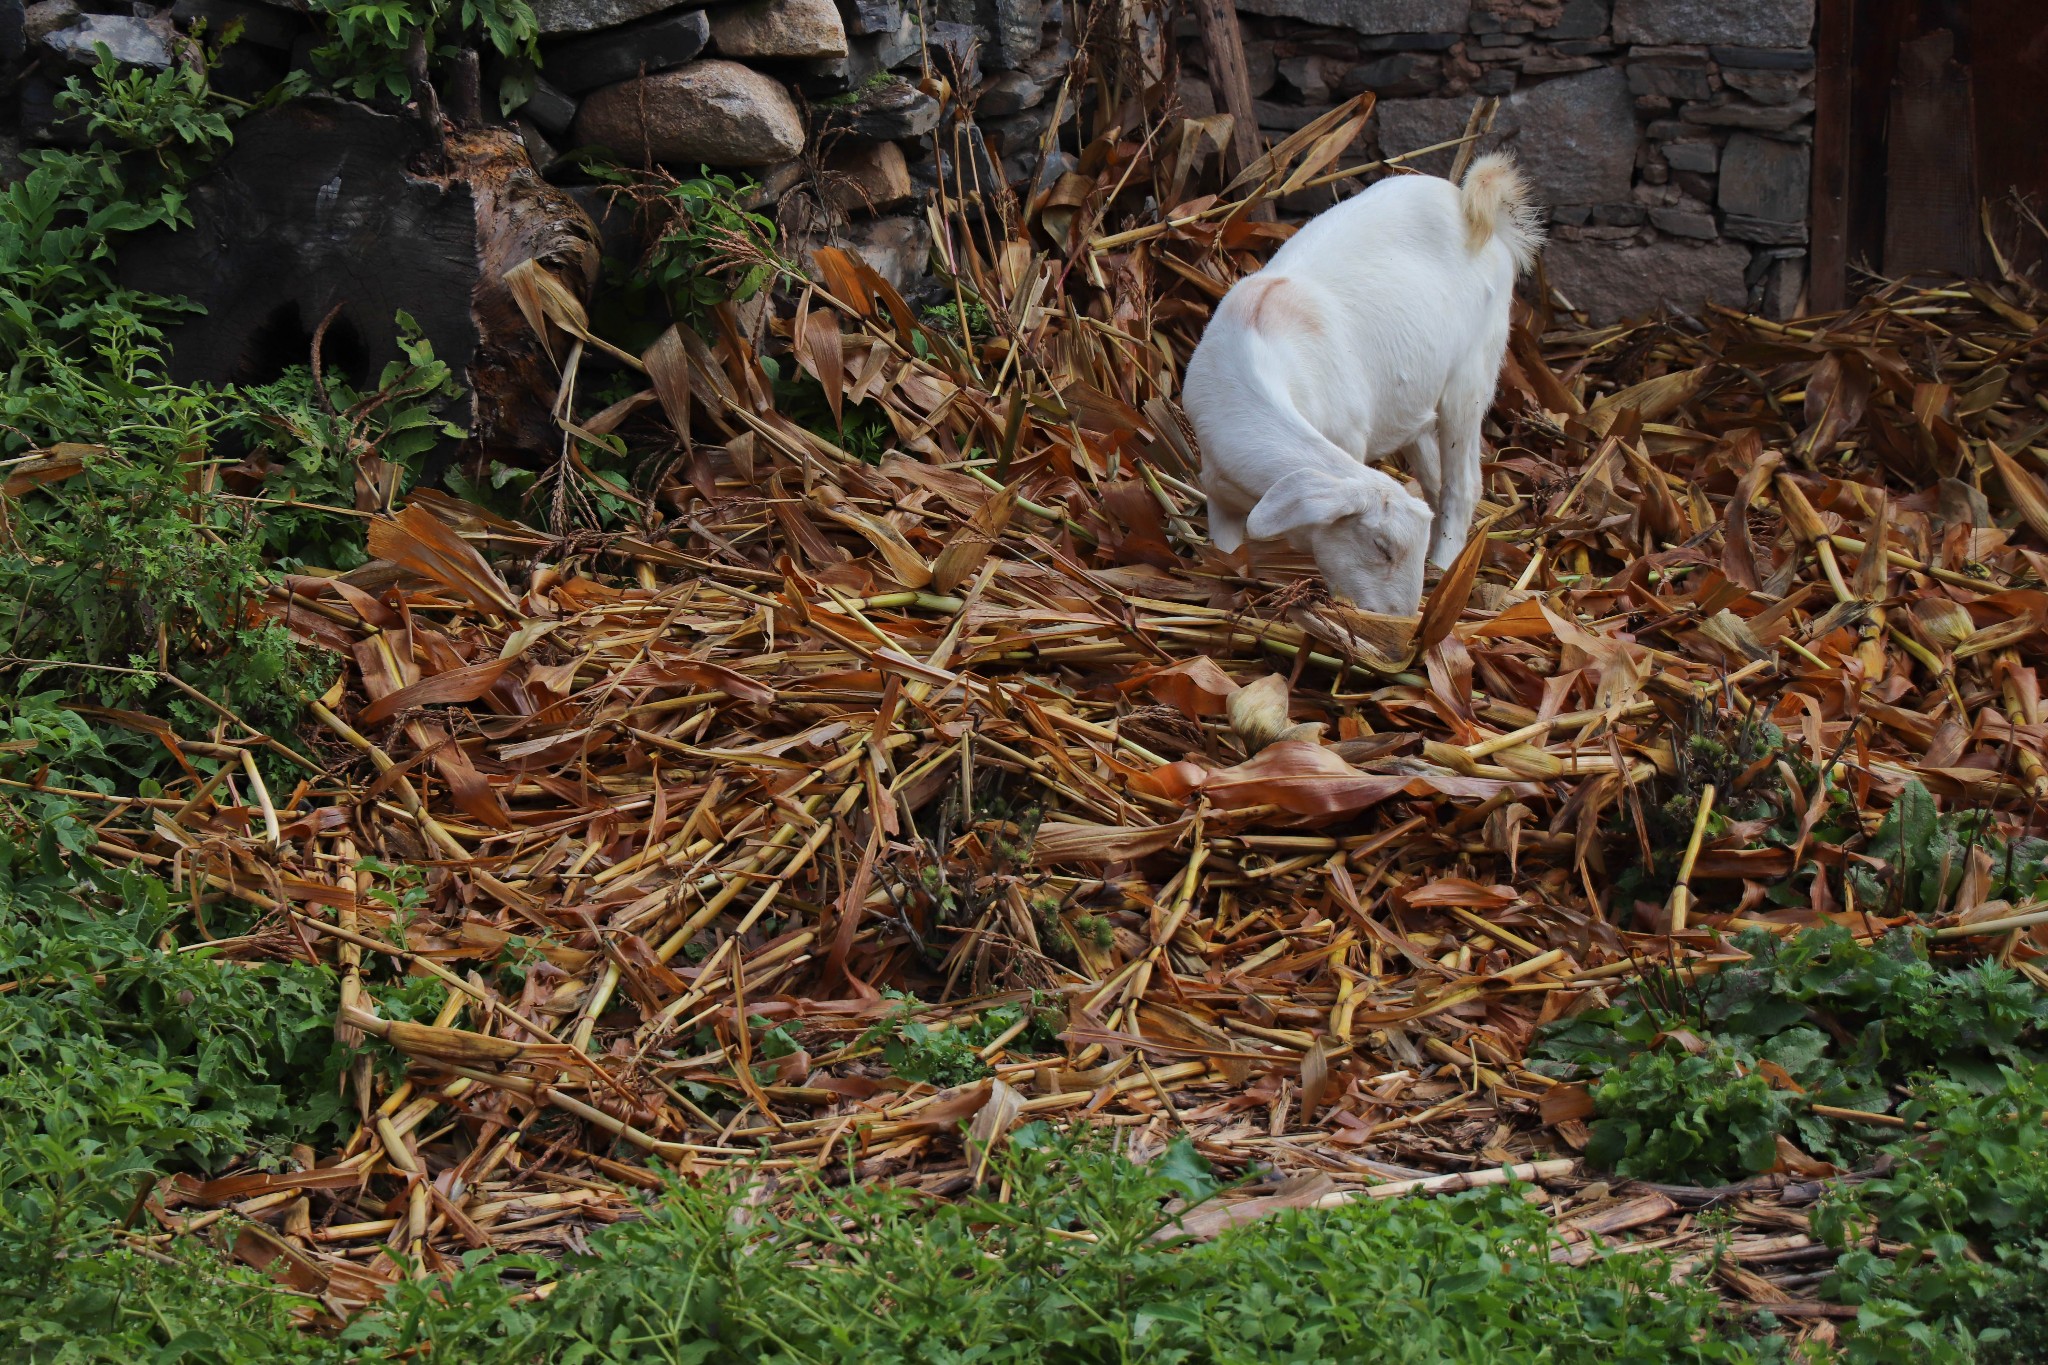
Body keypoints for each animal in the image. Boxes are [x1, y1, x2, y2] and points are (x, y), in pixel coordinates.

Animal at [1179, 153, 1540, 613]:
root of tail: (1471, 204)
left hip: (1473, 371)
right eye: (1381, 546)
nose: (1401, 619)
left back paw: (1446, 565)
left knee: (1465, 485)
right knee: (1437, 479)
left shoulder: (1348, 439)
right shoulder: (1218, 491)